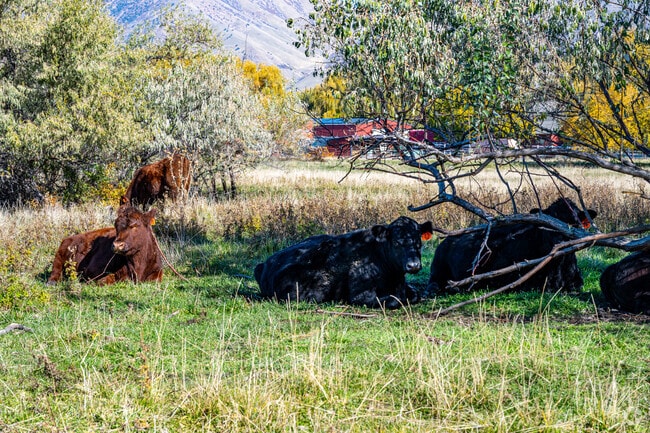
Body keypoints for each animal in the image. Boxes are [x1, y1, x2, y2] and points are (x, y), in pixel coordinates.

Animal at [254, 216, 434, 309]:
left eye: (418, 240)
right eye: (396, 242)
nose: (413, 265)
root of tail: (266, 263)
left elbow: (414, 294)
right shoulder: (361, 295)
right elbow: (394, 299)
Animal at [427, 198, 597, 295]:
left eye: (574, 223)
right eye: (548, 221)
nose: (559, 241)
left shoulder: (576, 280)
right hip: (437, 270)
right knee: (434, 284)